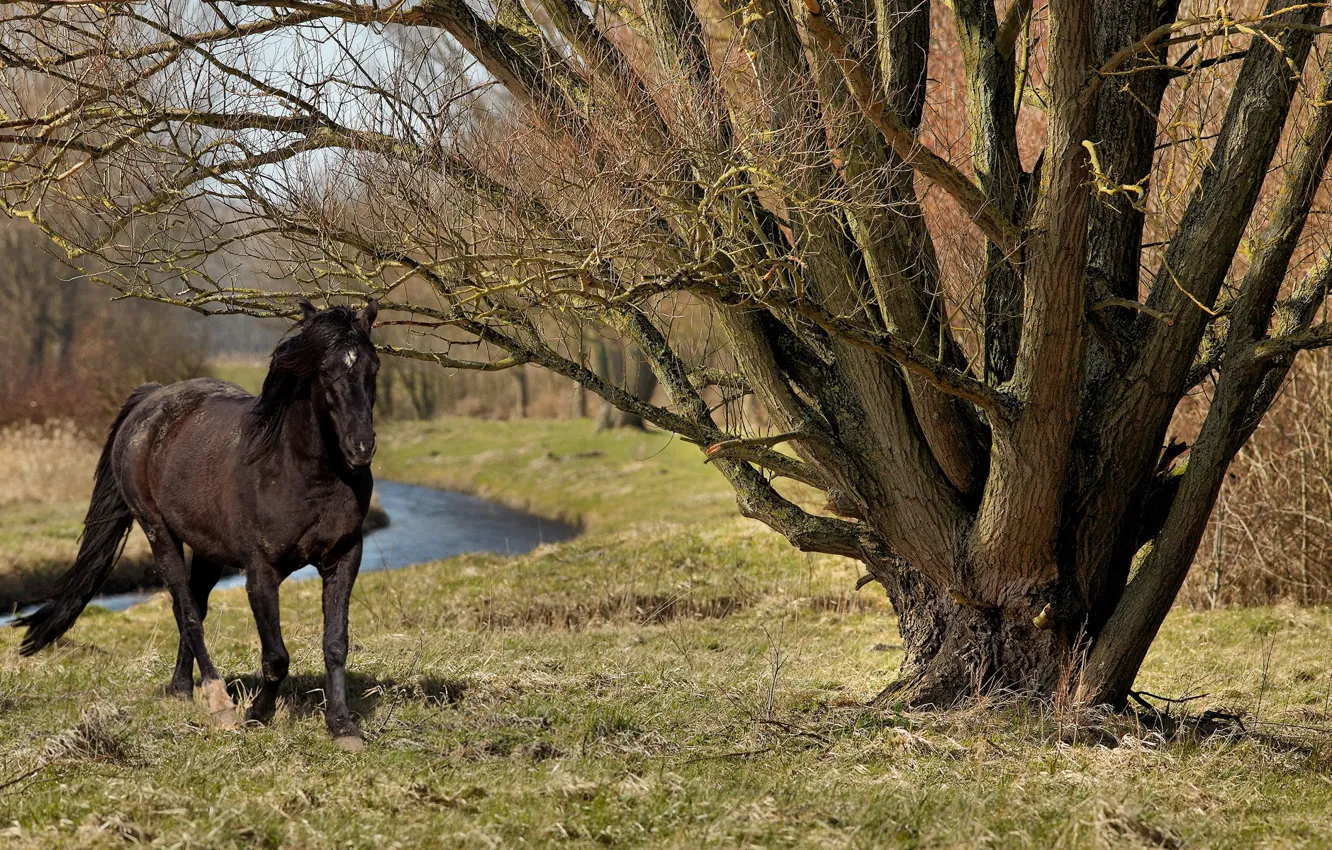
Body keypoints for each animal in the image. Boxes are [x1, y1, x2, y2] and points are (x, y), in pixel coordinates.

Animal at [15, 300, 380, 751]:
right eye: (326, 371)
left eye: (373, 366)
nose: (360, 448)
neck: (301, 472)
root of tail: (152, 398)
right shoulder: (261, 572)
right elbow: (276, 656)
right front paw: (257, 715)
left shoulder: (344, 558)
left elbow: (335, 643)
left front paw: (343, 726)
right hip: (159, 533)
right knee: (186, 610)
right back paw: (219, 703)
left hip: (207, 550)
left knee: (193, 608)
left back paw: (180, 689)